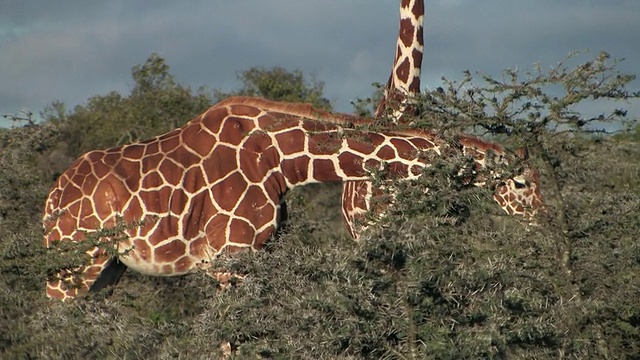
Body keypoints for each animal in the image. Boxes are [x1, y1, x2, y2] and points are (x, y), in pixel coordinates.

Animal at [42, 95, 540, 300]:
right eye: (522, 184)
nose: (541, 222)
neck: (281, 161)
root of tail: (52, 197)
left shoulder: (257, 256)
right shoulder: (227, 259)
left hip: (108, 271)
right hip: (72, 267)